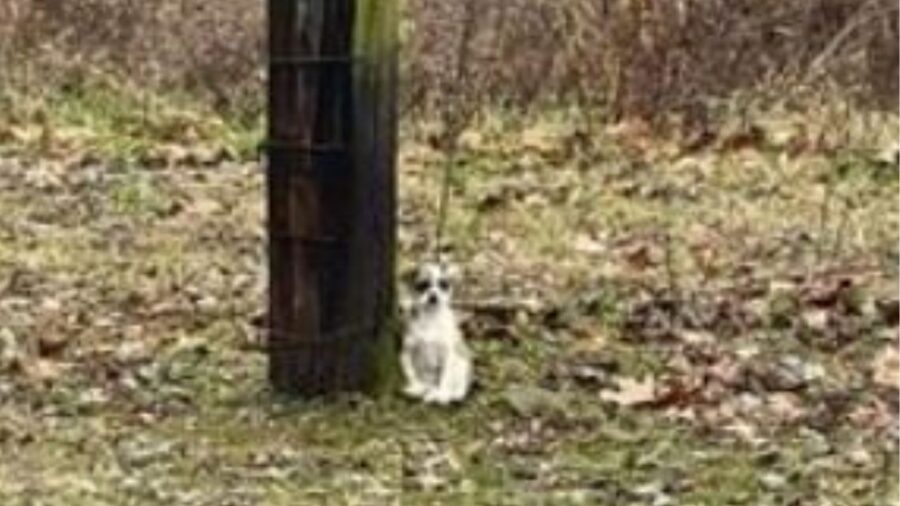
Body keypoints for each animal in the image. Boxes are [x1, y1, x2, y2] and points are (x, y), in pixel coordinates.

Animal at [400, 260, 472, 404]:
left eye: (444, 285)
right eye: (422, 285)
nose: (433, 295)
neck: (430, 318)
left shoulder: (448, 355)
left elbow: (446, 377)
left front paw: (443, 395)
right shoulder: (406, 353)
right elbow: (411, 373)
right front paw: (416, 386)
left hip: (461, 362)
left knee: (457, 387)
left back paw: (446, 394)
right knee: (429, 385)